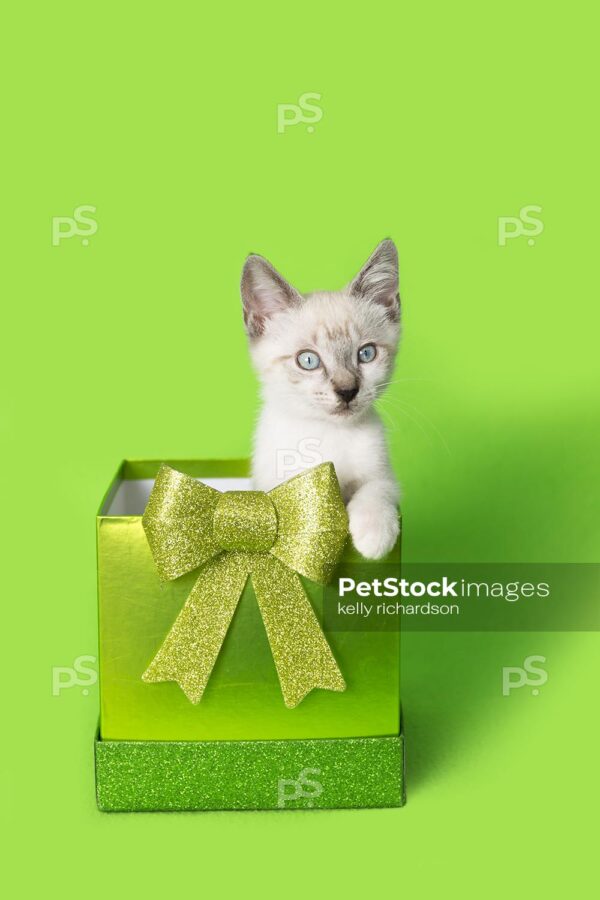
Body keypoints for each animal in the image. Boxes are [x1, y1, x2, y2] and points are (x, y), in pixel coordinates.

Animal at [238, 243, 398, 560]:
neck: (326, 433)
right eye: (308, 360)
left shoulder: (384, 475)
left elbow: (377, 489)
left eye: (366, 354)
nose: (347, 391)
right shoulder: (270, 482)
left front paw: (374, 534)